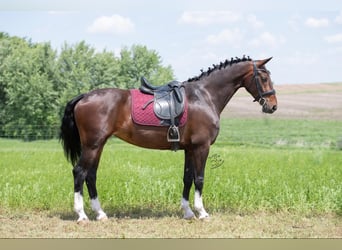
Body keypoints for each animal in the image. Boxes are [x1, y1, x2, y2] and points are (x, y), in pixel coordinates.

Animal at [58, 55, 278, 222]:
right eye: (264, 77)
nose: (273, 106)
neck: (204, 96)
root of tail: (84, 96)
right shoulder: (202, 147)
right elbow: (199, 178)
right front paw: (202, 212)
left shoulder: (189, 149)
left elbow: (187, 178)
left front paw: (188, 212)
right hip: (92, 145)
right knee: (79, 172)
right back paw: (81, 215)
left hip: (98, 145)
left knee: (91, 175)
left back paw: (100, 214)